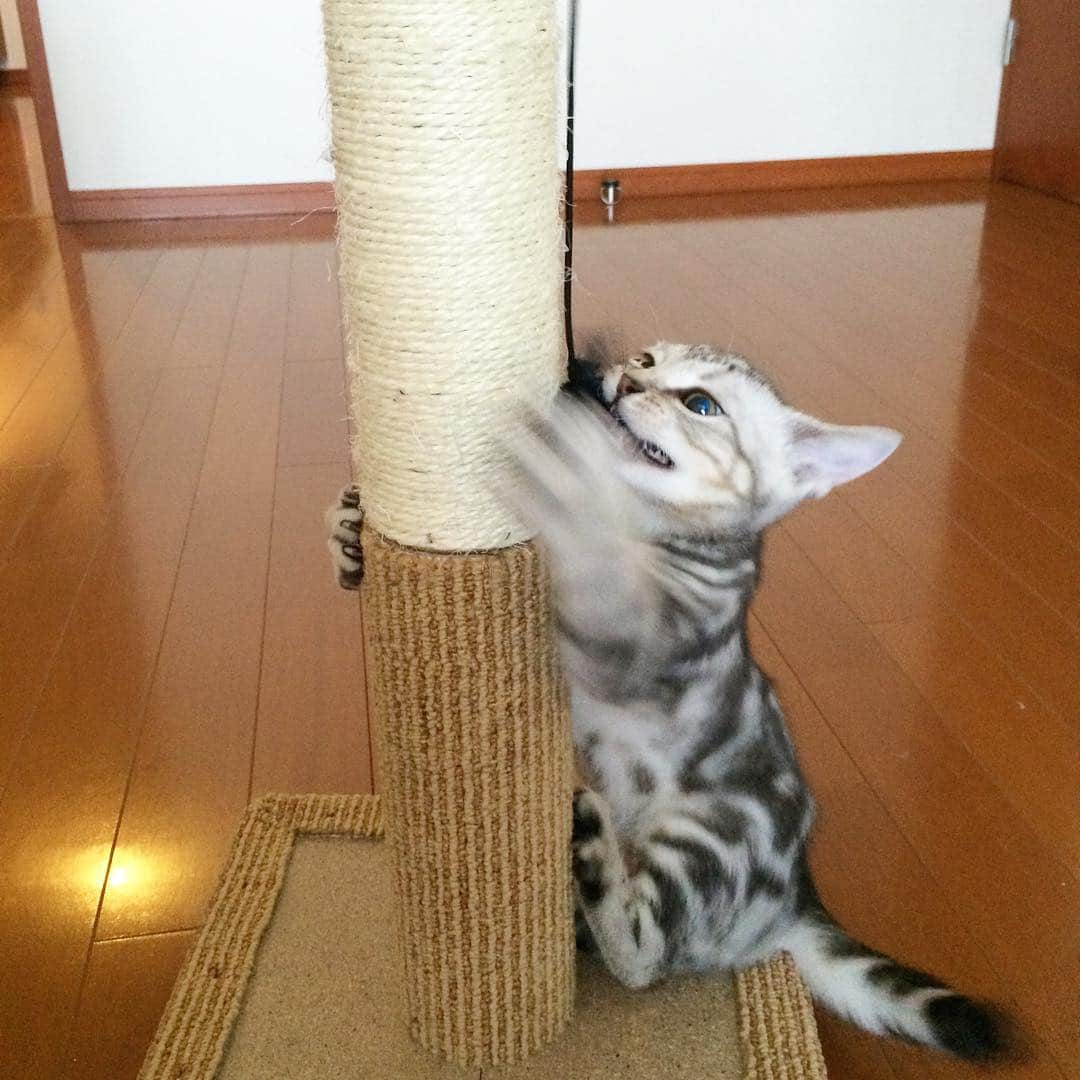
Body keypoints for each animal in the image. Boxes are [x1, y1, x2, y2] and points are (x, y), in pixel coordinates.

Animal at [328, 343, 1010, 1062]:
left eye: (702, 405)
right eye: (648, 359)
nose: (625, 379)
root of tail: (798, 899)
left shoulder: (650, 643)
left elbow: (598, 568)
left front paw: (570, 482)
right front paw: (347, 530)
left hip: (712, 836)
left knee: (645, 957)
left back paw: (594, 852)